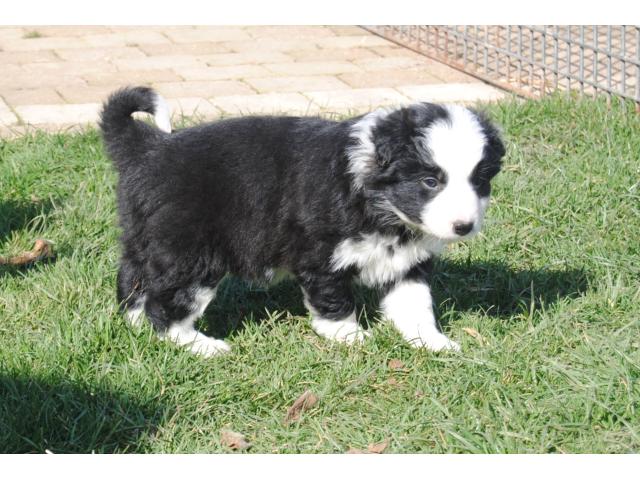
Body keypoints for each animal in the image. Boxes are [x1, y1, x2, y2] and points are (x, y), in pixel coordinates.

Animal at [99, 86, 504, 356]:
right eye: (431, 181)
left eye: (479, 180)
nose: (464, 227)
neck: (377, 196)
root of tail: (149, 149)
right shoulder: (321, 253)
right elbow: (333, 298)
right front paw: (350, 337)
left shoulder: (407, 261)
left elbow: (414, 304)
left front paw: (433, 342)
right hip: (192, 255)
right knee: (167, 304)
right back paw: (201, 346)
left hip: (147, 240)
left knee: (133, 280)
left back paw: (135, 325)